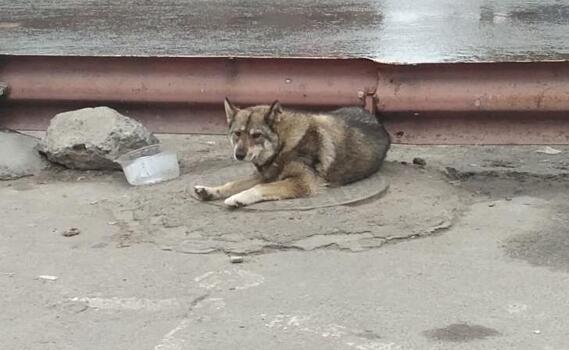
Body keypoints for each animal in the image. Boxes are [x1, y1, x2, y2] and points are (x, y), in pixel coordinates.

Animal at [192, 98, 390, 208]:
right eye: (237, 134)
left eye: (256, 135)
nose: (239, 155)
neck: (284, 145)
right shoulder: (265, 175)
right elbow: (232, 183)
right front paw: (211, 191)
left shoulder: (302, 182)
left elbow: (259, 188)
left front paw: (238, 198)